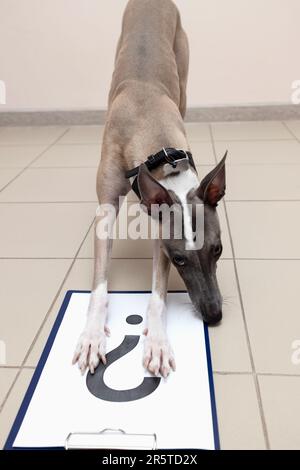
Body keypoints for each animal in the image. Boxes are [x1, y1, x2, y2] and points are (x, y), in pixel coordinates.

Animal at [73, 0, 225, 376]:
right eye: (180, 258)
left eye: (217, 250)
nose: (214, 315)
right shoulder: (107, 209)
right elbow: (99, 286)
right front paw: (92, 335)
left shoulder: (161, 230)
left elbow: (157, 295)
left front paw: (156, 341)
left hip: (183, 72)